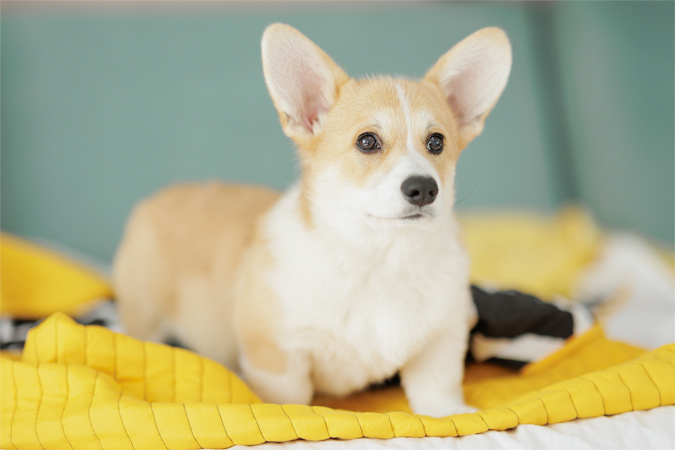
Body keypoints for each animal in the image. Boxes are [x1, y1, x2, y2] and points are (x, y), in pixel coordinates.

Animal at [113, 24, 510, 416]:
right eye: (367, 141)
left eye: (436, 142)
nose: (424, 189)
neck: (382, 260)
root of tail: (157, 198)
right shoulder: (277, 353)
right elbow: (291, 401)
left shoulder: (443, 337)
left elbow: (437, 388)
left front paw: (454, 413)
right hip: (145, 317)